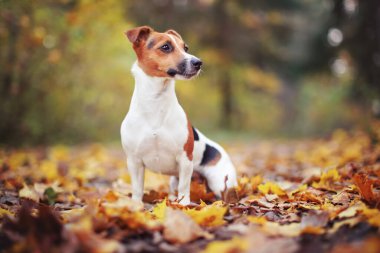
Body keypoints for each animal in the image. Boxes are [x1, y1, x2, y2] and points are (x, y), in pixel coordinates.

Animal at [120, 25, 236, 205]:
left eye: (185, 48)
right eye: (166, 47)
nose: (198, 62)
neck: (155, 102)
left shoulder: (185, 159)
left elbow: (184, 187)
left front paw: (184, 205)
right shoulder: (134, 161)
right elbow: (137, 189)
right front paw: (136, 206)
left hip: (220, 181)